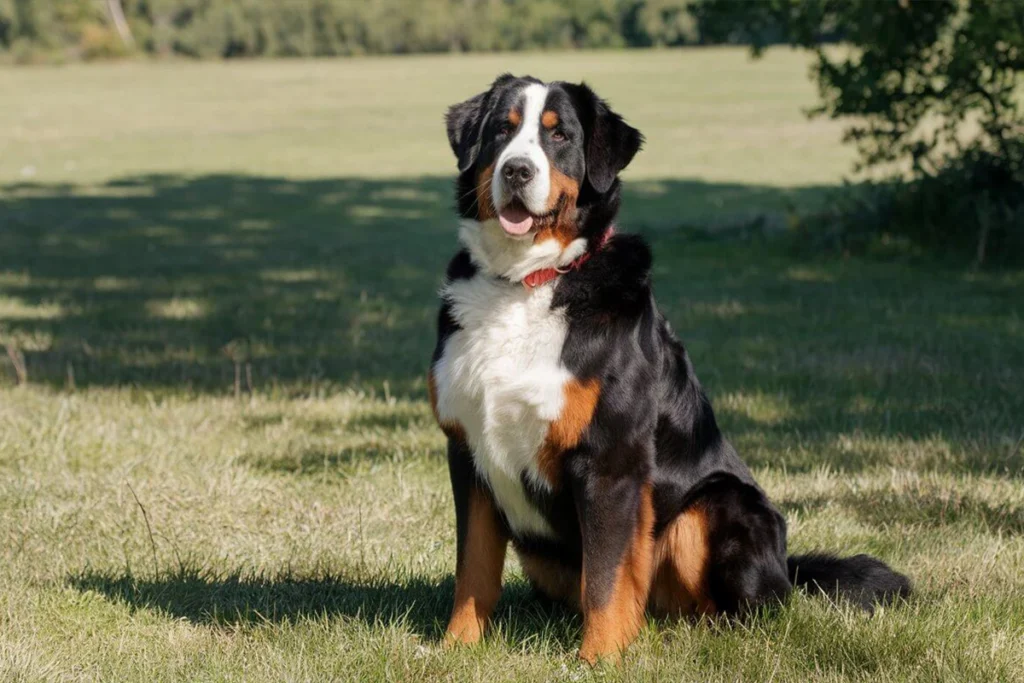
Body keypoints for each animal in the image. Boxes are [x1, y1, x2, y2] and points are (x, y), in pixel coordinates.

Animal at [428, 73, 909, 663]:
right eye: (502, 129)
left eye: (559, 135)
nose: (517, 170)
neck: (526, 284)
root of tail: (785, 567)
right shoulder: (468, 451)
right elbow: (473, 570)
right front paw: (455, 648)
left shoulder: (609, 460)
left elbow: (606, 579)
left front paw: (599, 659)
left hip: (718, 504)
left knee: (743, 610)